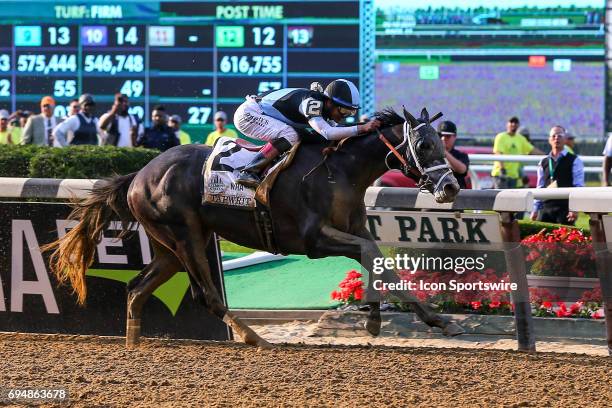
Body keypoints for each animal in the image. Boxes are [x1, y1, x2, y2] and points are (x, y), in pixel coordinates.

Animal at [44, 107, 464, 348]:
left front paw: (386, 319)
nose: (450, 187)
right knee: (207, 296)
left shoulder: (355, 230)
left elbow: (375, 259)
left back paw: (133, 342)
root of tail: (139, 174)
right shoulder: (314, 239)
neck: (339, 171)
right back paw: (254, 337)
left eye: (443, 144)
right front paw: (430, 319)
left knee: (136, 288)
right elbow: (372, 256)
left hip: (168, 247)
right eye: (424, 145)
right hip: (186, 237)